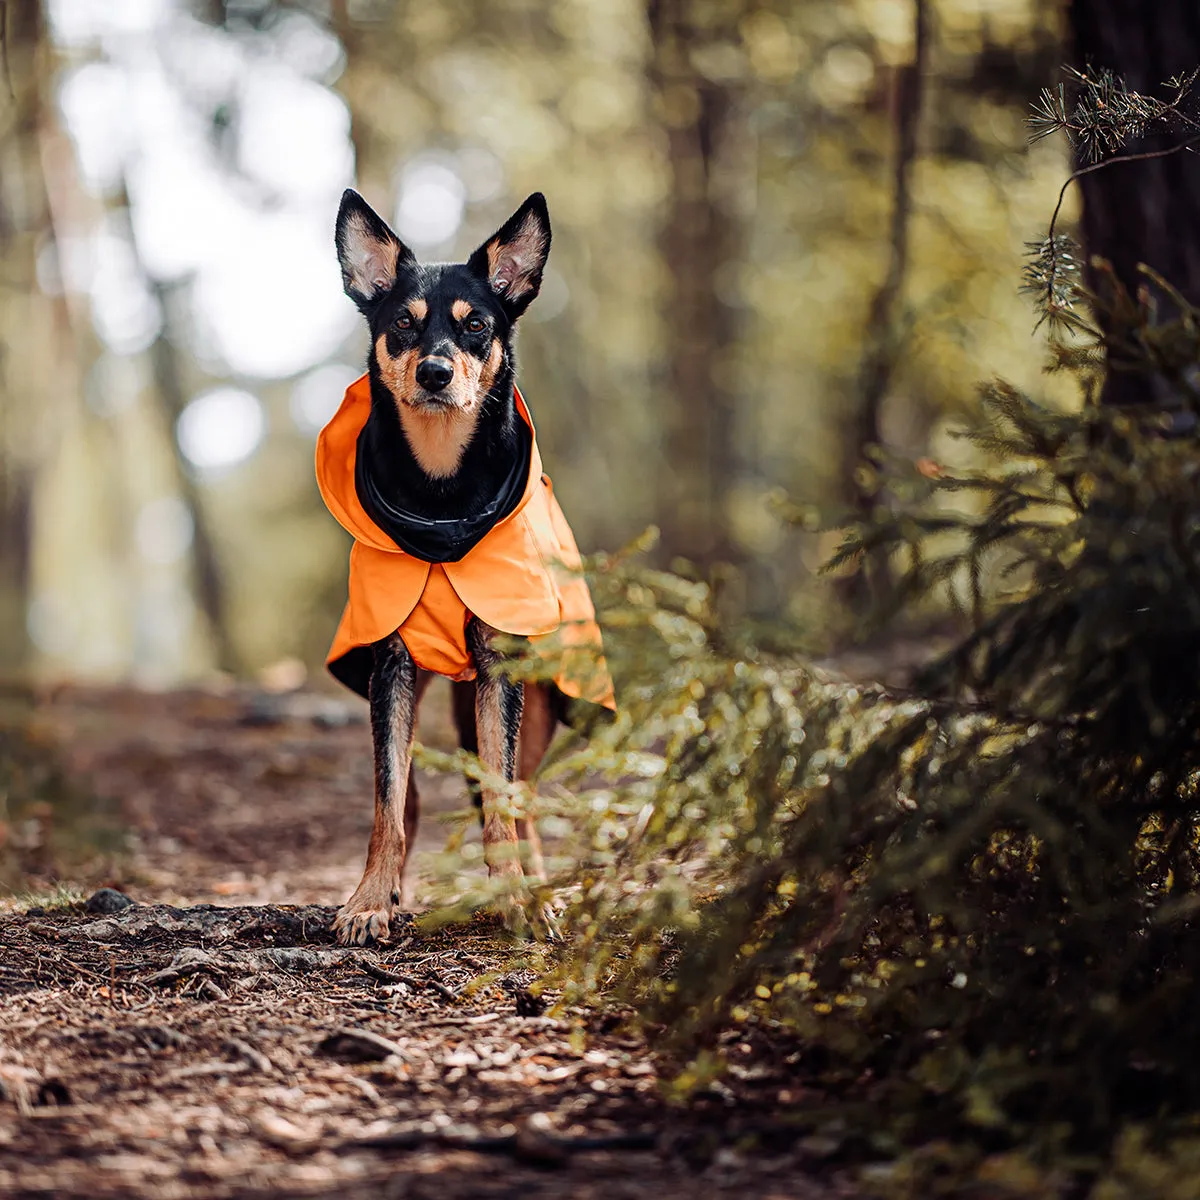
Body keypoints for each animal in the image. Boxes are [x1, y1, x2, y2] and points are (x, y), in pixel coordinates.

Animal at [316, 187, 614, 945]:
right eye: (402, 323)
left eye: (476, 323)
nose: (435, 372)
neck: (443, 501)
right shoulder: (390, 664)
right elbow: (388, 799)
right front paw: (370, 899)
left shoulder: (502, 669)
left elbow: (501, 800)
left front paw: (519, 901)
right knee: (413, 794)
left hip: (532, 696)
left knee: (518, 797)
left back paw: (538, 886)